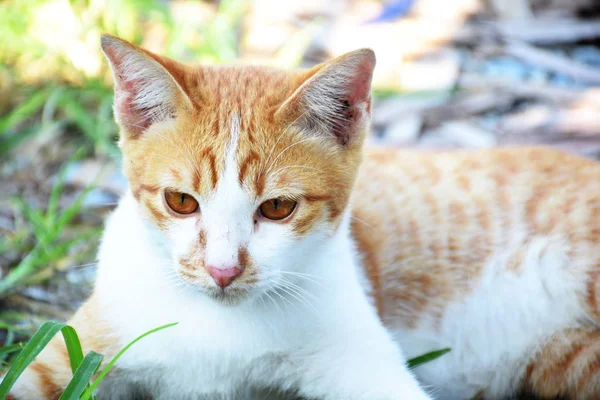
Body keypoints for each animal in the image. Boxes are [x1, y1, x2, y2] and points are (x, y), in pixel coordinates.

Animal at [5, 34, 600, 400]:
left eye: (277, 208)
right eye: (181, 202)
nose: (223, 270)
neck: (218, 329)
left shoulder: (363, 365)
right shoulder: (71, 353)